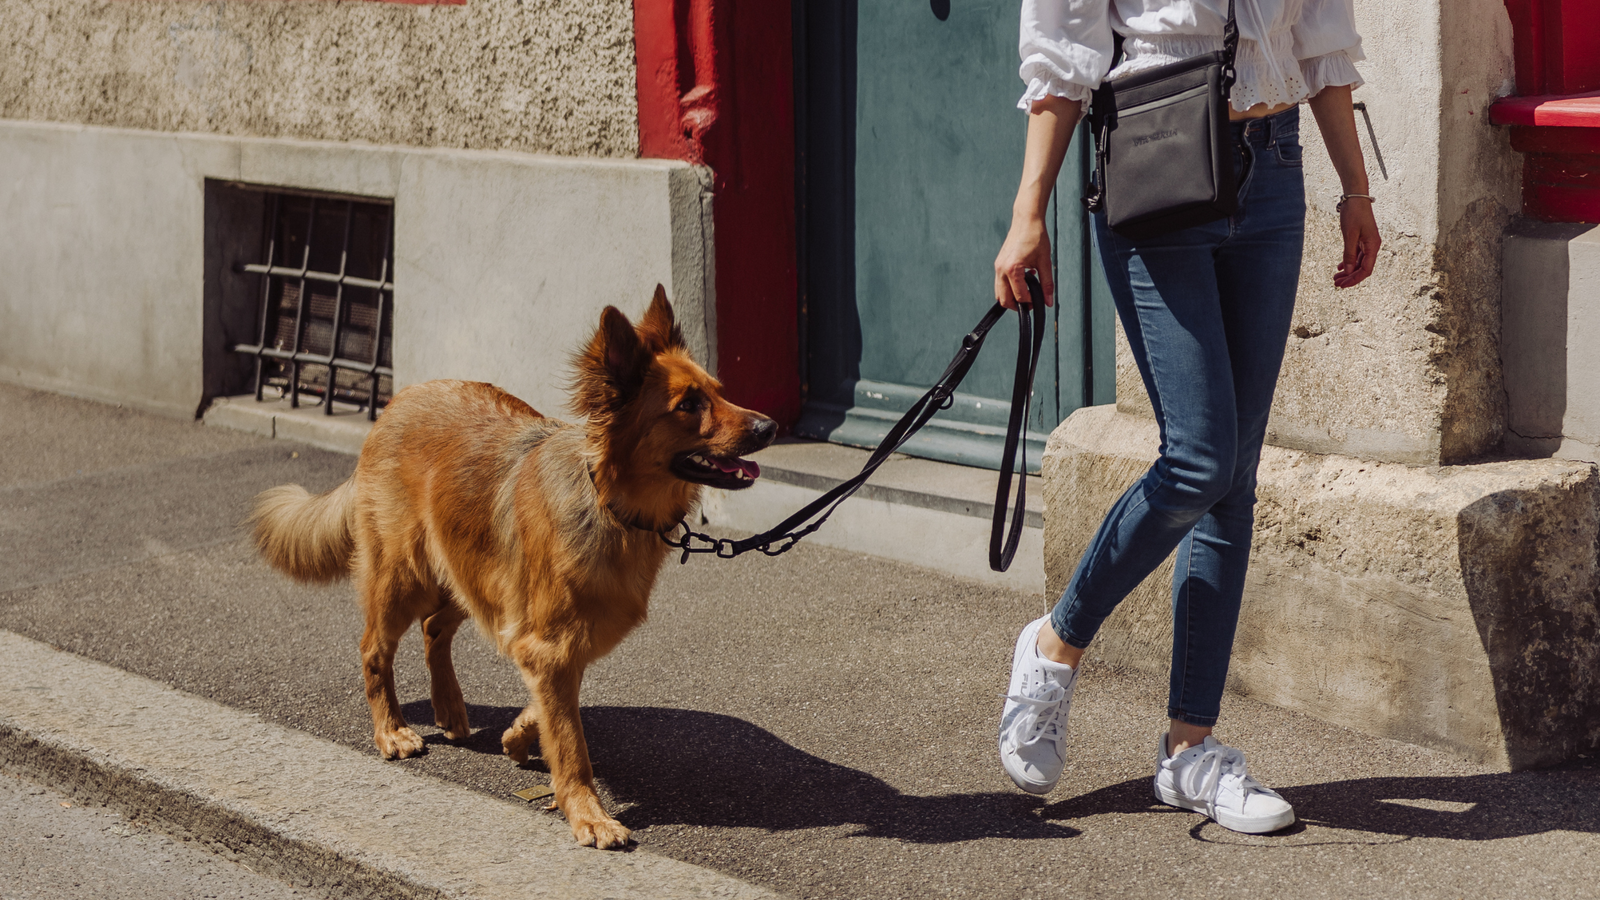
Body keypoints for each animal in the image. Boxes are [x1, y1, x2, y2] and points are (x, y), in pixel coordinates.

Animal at [249, 288, 774, 845]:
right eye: (688, 405)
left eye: (719, 393)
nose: (770, 427)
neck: (608, 501)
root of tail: (397, 400)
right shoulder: (548, 643)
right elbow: (571, 742)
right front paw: (587, 812)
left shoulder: (551, 639)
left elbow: (551, 711)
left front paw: (519, 738)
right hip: (406, 577)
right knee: (375, 650)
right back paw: (391, 730)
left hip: (471, 577)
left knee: (435, 629)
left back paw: (449, 707)